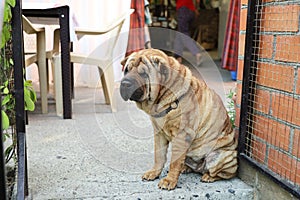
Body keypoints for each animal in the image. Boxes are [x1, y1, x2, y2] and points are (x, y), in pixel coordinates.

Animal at [118, 48, 238, 191]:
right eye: (126, 70)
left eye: (144, 74)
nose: (125, 83)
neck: (163, 97)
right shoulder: (159, 133)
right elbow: (159, 156)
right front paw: (154, 173)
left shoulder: (182, 136)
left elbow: (174, 162)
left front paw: (169, 180)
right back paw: (186, 168)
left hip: (219, 157)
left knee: (223, 174)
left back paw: (208, 176)